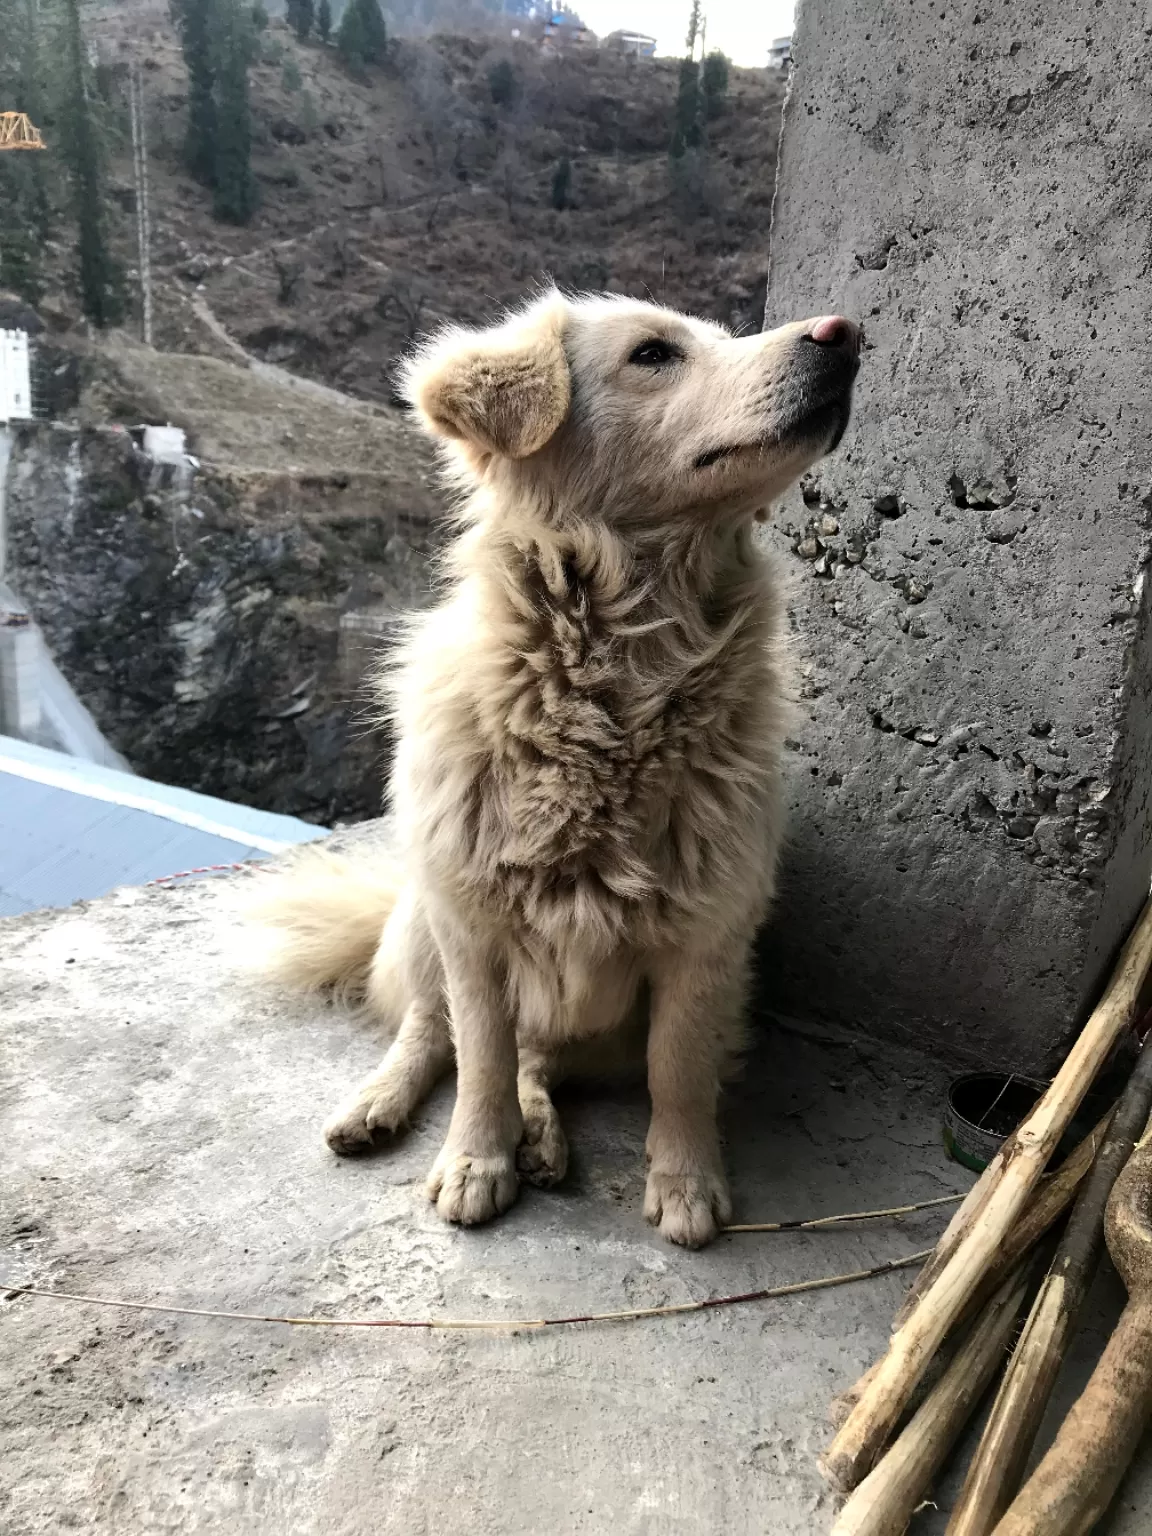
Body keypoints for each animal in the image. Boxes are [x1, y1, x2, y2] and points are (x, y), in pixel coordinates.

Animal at [248, 290, 860, 1247]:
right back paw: (384, 1105)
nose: (846, 336)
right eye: (655, 354)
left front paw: (685, 1181)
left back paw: (540, 1134)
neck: (615, 687)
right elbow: (479, 1058)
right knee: (429, 1030)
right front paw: (475, 1159)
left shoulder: (709, 939)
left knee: (538, 1059)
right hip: (422, 914)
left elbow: (678, 1070)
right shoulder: (471, 928)